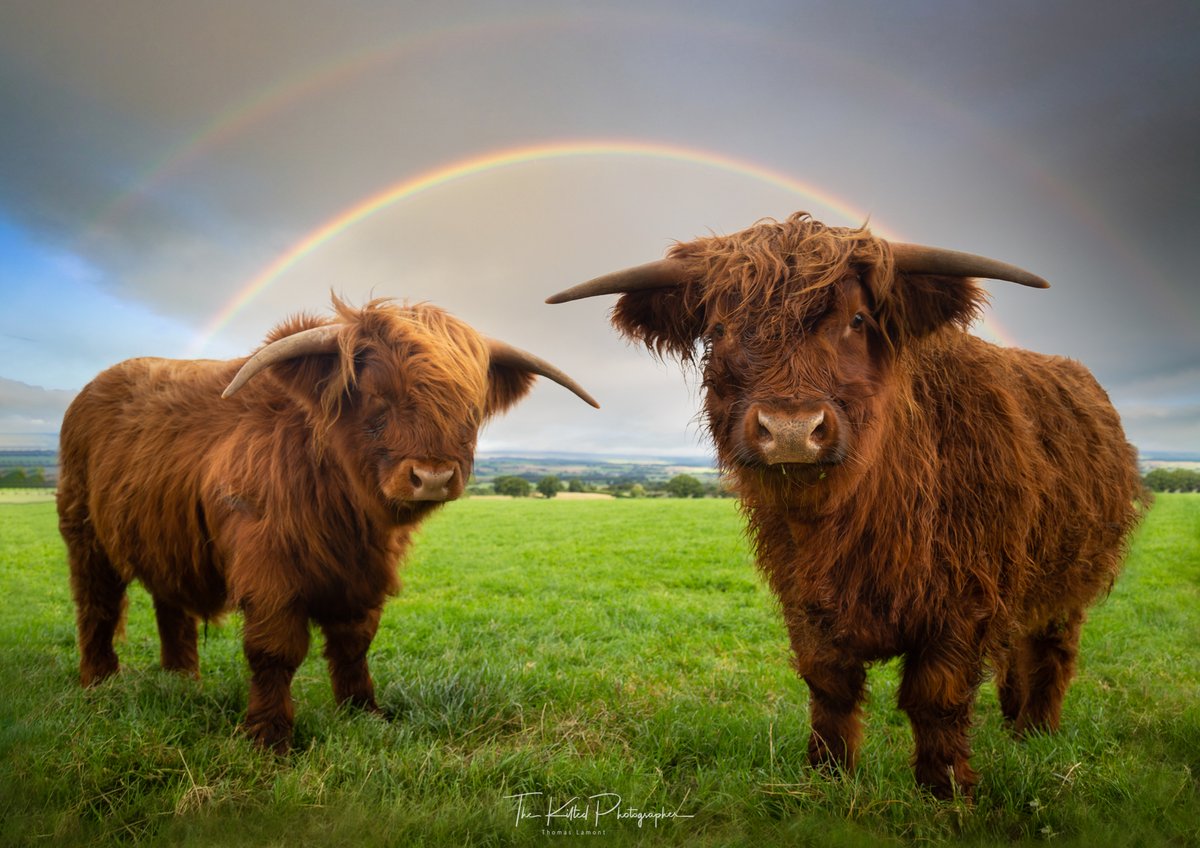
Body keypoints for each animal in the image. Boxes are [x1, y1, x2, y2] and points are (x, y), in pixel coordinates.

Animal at [58, 297, 597, 748]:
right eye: (377, 396)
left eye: (471, 406)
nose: (433, 476)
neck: (342, 506)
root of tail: (91, 389)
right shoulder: (268, 574)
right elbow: (275, 651)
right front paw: (270, 736)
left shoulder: (363, 575)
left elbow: (353, 645)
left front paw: (364, 713)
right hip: (84, 535)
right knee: (97, 606)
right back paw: (99, 684)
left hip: (166, 539)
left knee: (171, 606)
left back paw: (182, 680)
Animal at [549, 211, 1142, 796]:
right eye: (718, 329)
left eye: (857, 320)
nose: (790, 430)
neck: (857, 517)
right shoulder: (805, 596)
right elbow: (829, 685)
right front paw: (828, 775)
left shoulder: (963, 600)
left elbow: (936, 699)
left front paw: (945, 790)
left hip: (1069, 583)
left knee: (1051, 652)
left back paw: (1037, 732)